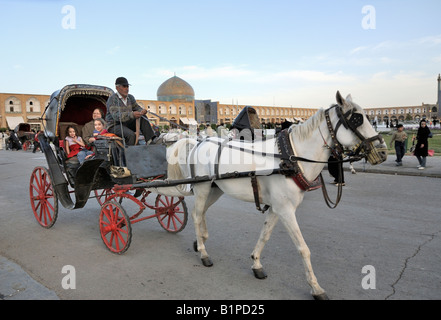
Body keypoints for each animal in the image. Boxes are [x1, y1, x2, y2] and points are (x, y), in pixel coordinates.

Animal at [163, 91, 386, 298]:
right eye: (357, 118)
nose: (382, 151)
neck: (291, 157)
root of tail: (199, 142)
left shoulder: (276, 208)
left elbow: (265, 235)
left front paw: (256, 264)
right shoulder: (286, 210)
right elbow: (303, 248)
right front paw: (315, 287)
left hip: (215, 188)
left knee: (201, 213)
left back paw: (200, 240)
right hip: (202, 187)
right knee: (196, 214)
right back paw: (203, 252)